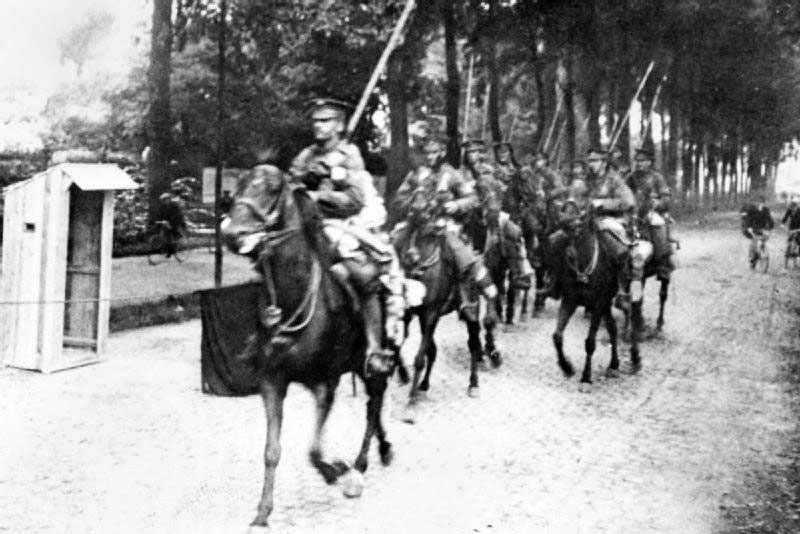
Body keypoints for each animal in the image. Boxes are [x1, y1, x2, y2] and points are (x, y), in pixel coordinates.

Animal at [222, 166, 400, 532]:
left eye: (272, 188)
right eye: (239, 186)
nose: (233, 233)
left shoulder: (325, 382)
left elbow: (314, 450)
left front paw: (336, 471)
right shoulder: (272, 381)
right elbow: (272, 450)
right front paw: (262, 513)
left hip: (372, 364)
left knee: (374, 405)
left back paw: (360, 466)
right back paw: (383, 449)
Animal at [552, 205, 644, 390]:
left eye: (580, 232)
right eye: (564, 232)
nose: (570, 254)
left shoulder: (597, 304)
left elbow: (590, 342)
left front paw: (586, 375)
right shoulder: (570, 301)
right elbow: (557, 336)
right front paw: (566, 366)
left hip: (622, 294)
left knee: (630, 316)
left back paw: (635, 358)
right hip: (606, 303)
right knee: (613, 329)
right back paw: (613, 364)